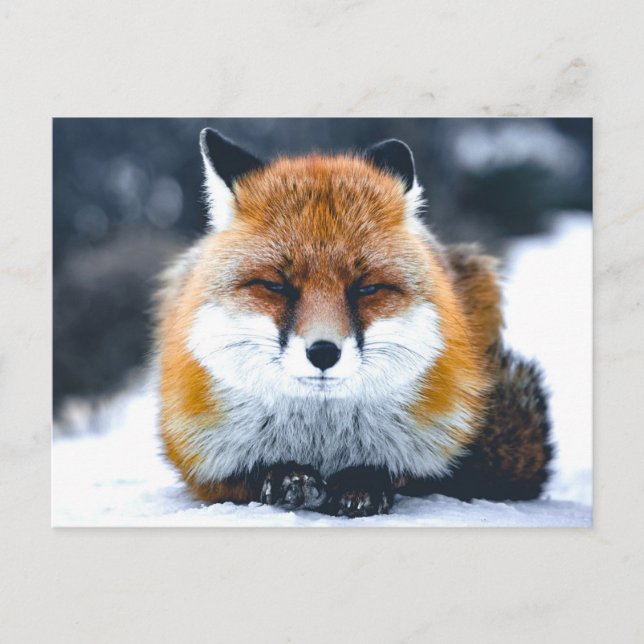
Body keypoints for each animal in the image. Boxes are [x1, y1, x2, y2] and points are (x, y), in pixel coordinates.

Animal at [155, 127, 552, 518]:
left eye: (367, 288)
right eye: (275, 286)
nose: (323, 352)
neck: (321, 441)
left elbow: (399, 472)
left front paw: (363, 483)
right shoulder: (199, 461)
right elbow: (246, 475)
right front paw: (286, 476)